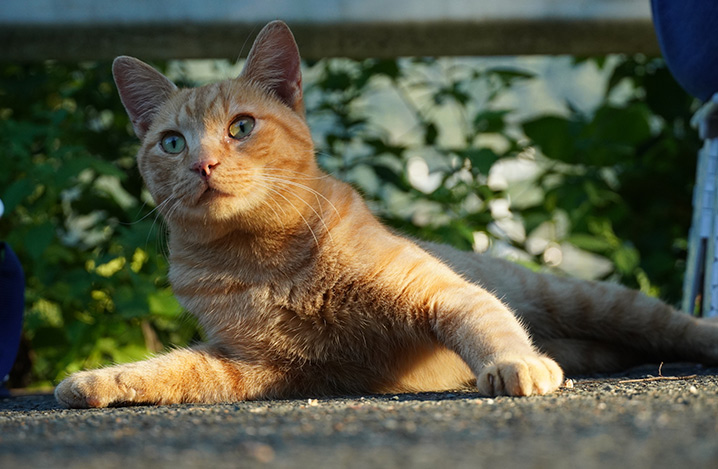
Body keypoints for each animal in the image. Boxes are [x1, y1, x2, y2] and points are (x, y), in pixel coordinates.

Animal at [53, 21, 716, 406]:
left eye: (240, 127)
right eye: (171, 142)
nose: (203, 164)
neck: (265, 259)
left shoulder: (443, 295)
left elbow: (489, 325)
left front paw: (515, 364)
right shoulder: (252, 364)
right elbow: (175, 370)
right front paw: (96, 381)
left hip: (586, 298)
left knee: (668, 322)